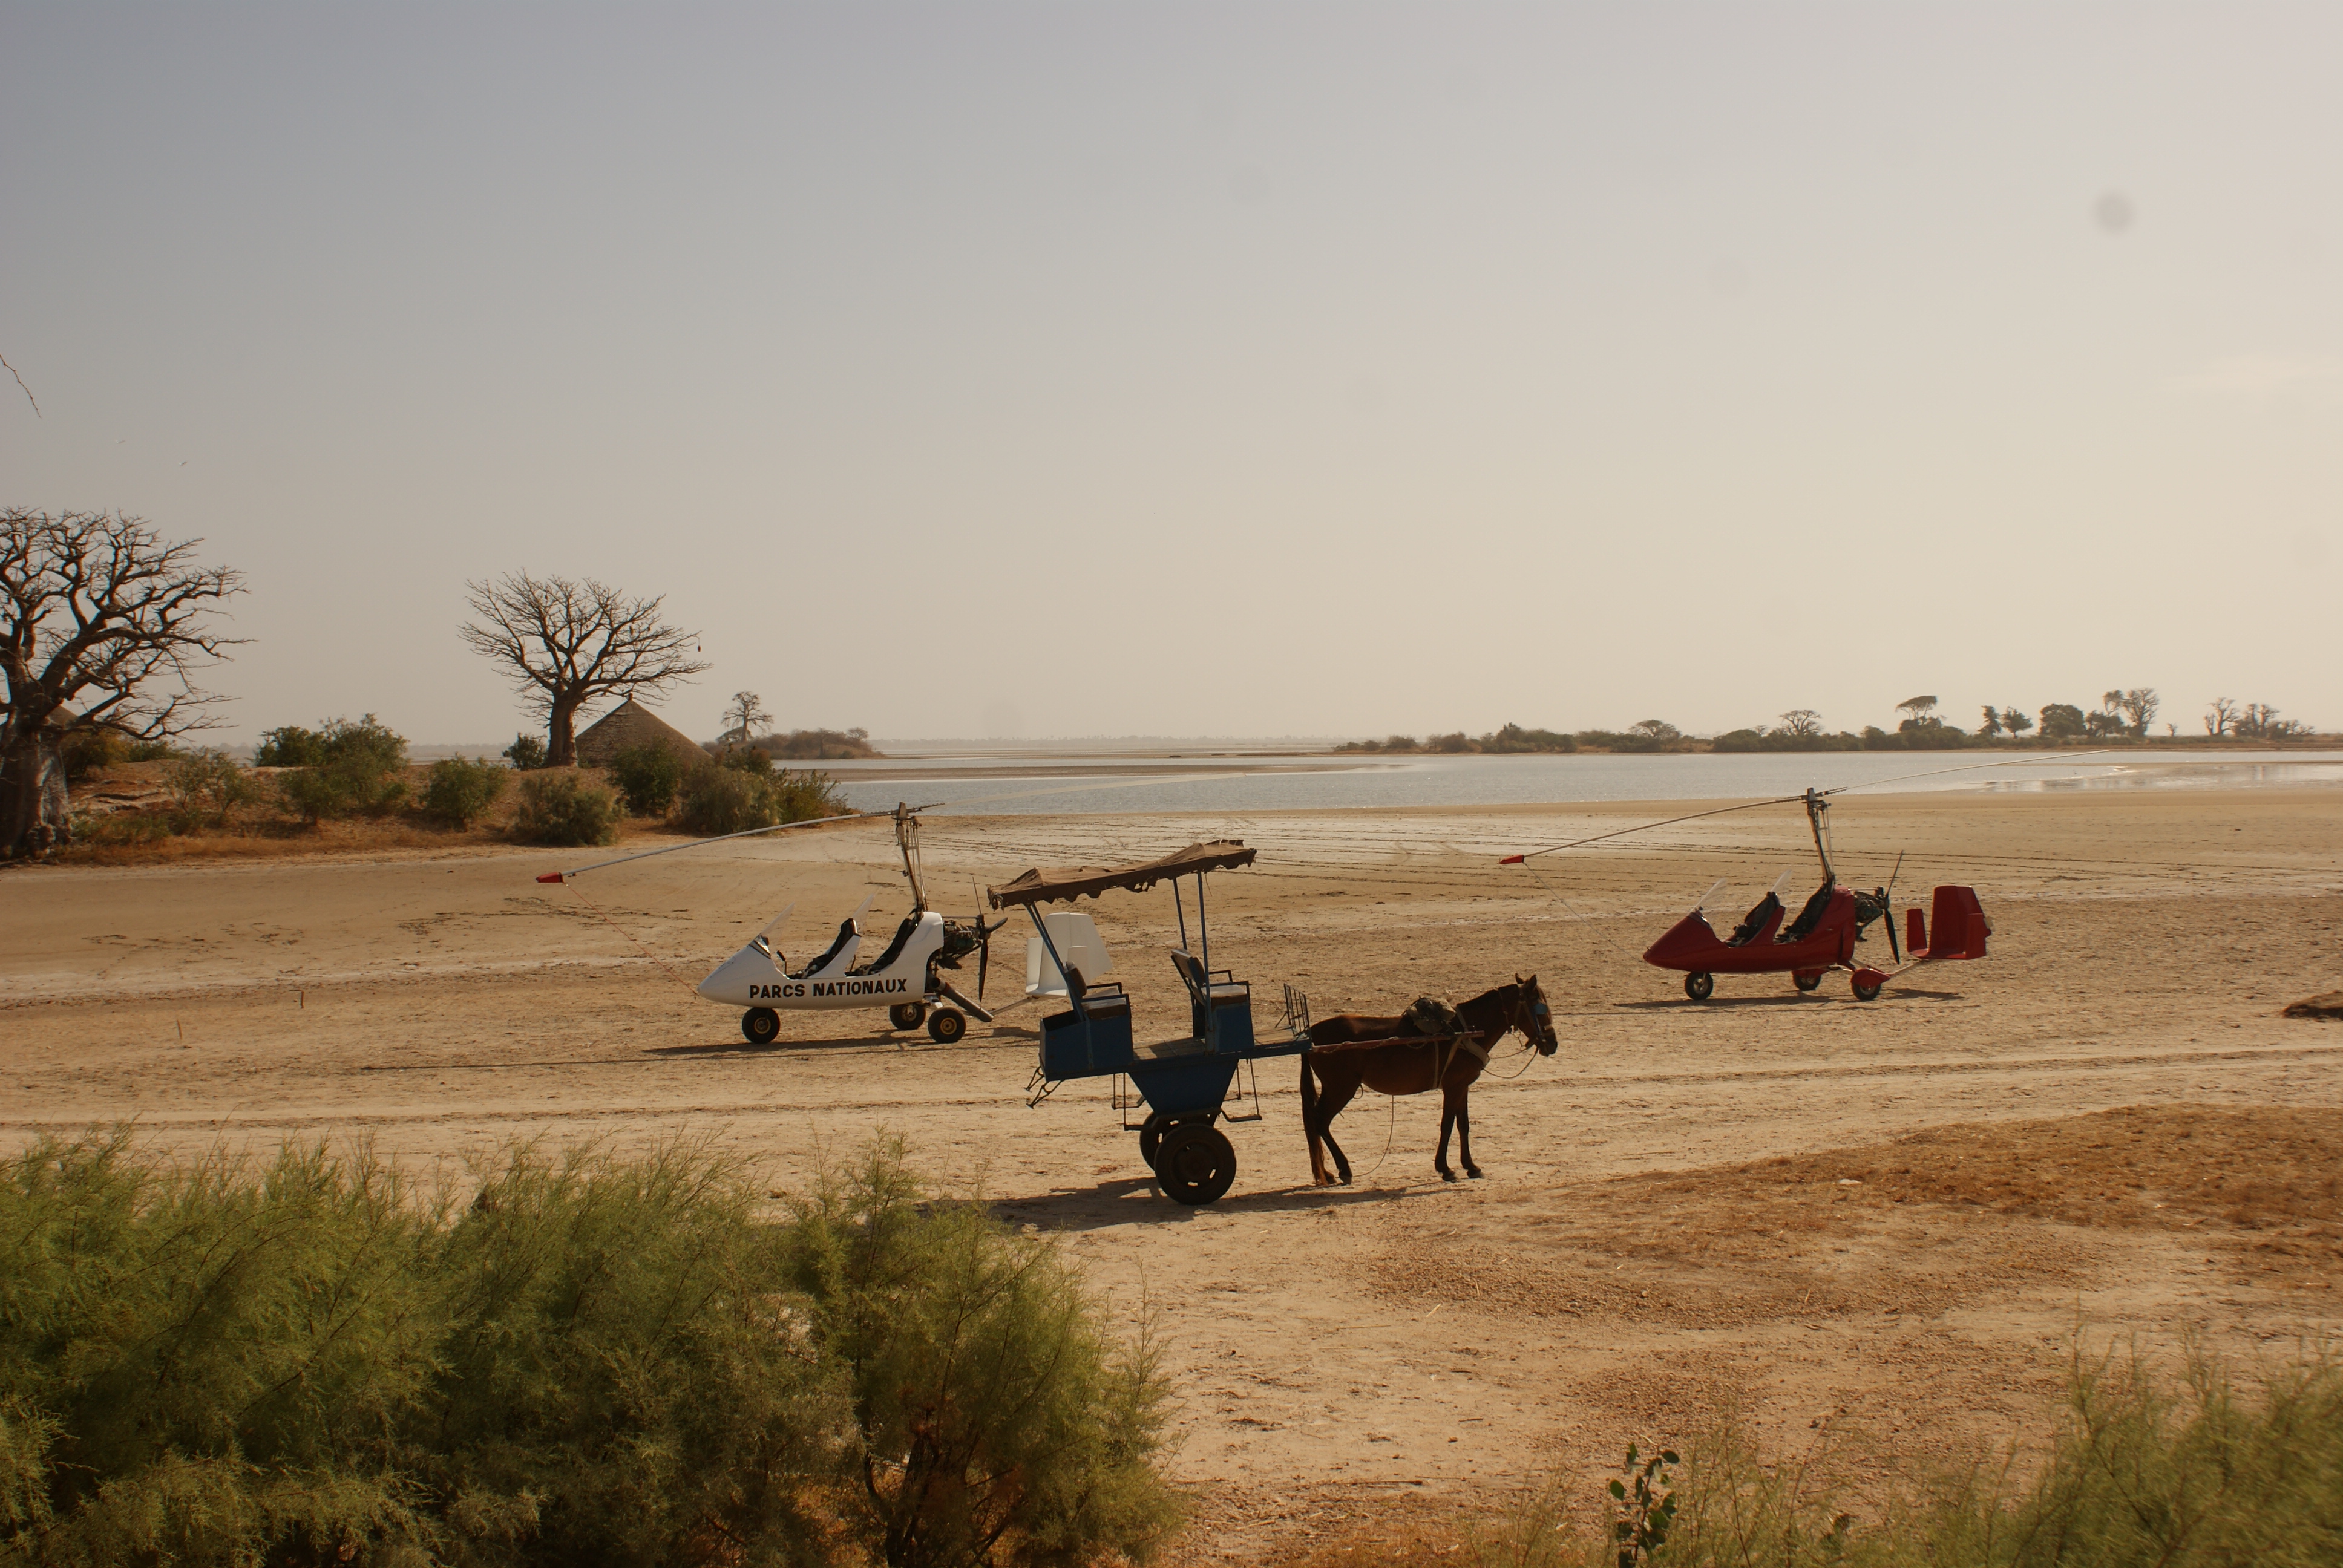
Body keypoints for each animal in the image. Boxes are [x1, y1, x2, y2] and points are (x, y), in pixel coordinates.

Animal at [1302, 970, 1556, 1181]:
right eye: (1541, 1008)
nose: (1553, 1045)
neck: (1463, 1032)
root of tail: (1311, 1036)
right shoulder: (1453, 1086)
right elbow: (1447, 1125)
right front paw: (1446, 1169)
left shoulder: (1462, 1086)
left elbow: (1463, 1125)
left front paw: (1471, 1166)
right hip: (1341, 1088)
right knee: (1320, 1121)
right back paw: (1343, 1169)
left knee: (1316, 1123)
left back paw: (1327, 1172)